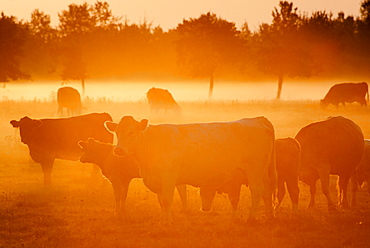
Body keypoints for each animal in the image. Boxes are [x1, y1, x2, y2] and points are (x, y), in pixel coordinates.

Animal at [105, 115, 276, 224]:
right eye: (117, 132)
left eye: (131, 132)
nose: (118, 150)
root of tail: (259, 119)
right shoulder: (158, 181)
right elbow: (161, 202)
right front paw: (163, 220)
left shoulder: (168, 178)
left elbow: (167, 201)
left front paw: (168, 222)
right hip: (263, 173)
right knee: (267, 191)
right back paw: (269, 216)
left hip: (255, 172)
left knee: (257, 191)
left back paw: (251, 218)